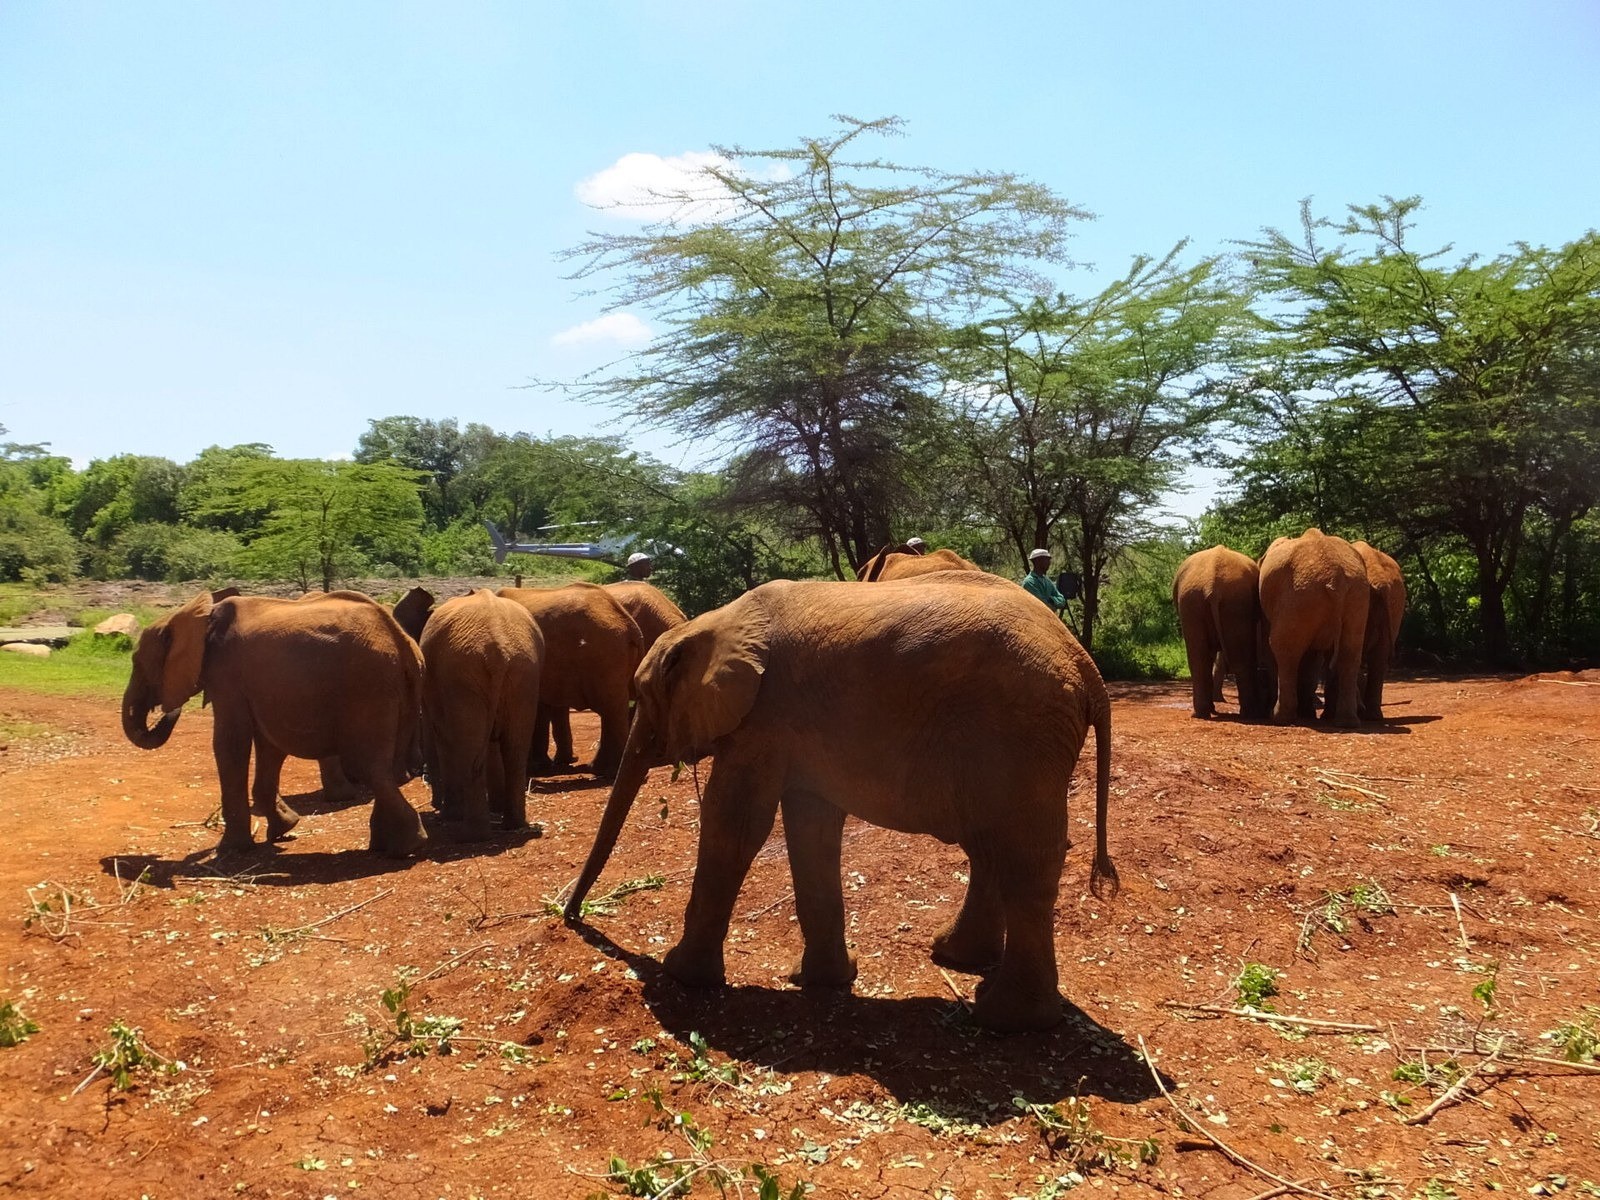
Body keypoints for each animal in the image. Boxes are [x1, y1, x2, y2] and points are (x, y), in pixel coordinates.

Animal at [121, 589, 427, 855]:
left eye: (138, 663)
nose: (166, 711)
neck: (198, 614)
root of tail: (400, 637)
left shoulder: (226, 675)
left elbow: (230, 743)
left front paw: (230, 850)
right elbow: (268, 745)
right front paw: (285, 829)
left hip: (367, 689)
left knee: (369, 766)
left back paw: (405, 847)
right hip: (399, 691)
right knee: (382, 767)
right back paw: (391, 847)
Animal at [497, 582, 644, 779]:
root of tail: (631, 626)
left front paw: (537, 767)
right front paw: (548, 765)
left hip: (603, 657)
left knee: (610, 708)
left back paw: (606, 771)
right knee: (614, 707)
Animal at [563, 573, 1117, 1033]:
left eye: (642, 697)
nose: (570, 916)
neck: (714, 622)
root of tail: (1086, 666)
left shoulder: (765, 718)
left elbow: (735, 824)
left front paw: (682, 974)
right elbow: (811, 827)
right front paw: (824, 980)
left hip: (1020, 737)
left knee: (1021, 858)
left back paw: (1006, 1019)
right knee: (991, 848)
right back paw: (955, 958)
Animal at [1172, 545, 1273, 720]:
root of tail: (1212, 584)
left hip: (1203, 601)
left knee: (1202, 659)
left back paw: (1205, 714)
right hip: (1205, 601)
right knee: (1234, 659)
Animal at [1258, 529, 1371, 727]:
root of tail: (1336, 577)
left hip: (1299, 596)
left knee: (1284, 649)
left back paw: (1279, 718)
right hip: (1355, 596)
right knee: (1350, 653)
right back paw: (1347, 722)